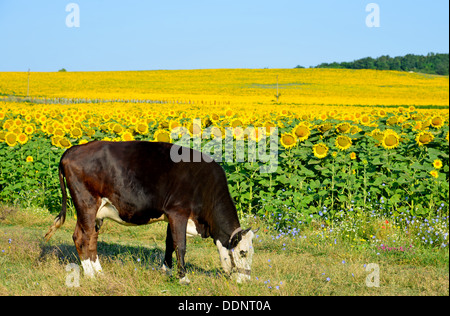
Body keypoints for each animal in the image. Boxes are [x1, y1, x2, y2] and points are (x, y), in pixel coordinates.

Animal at [45, 141, 256, 284]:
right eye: (243, 252)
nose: (246, 281)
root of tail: (72, 149)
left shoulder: (171, 216)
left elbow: (170, 244)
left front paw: (167, 271)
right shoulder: (178, 212)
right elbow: (181, 246)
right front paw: (183, 278)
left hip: (97, 211)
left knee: (90, 239)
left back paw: (99, 272)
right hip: (86, 203)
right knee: (82, 238)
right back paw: (90, 275)